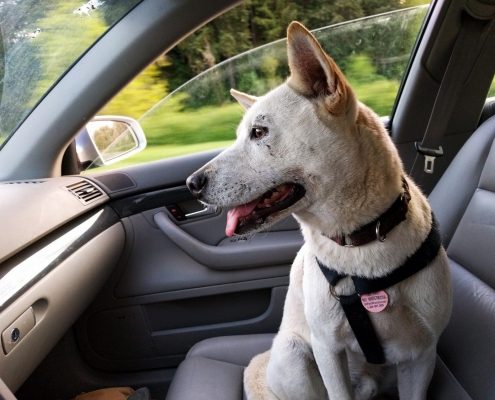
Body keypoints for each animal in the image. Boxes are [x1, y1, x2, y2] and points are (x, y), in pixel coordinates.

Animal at [186, 21, 454, 400]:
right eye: (241, 134)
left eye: (258, 132)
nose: (191, 183)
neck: (361, 243)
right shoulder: (328, 349)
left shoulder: (422, 357)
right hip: (295, 355)